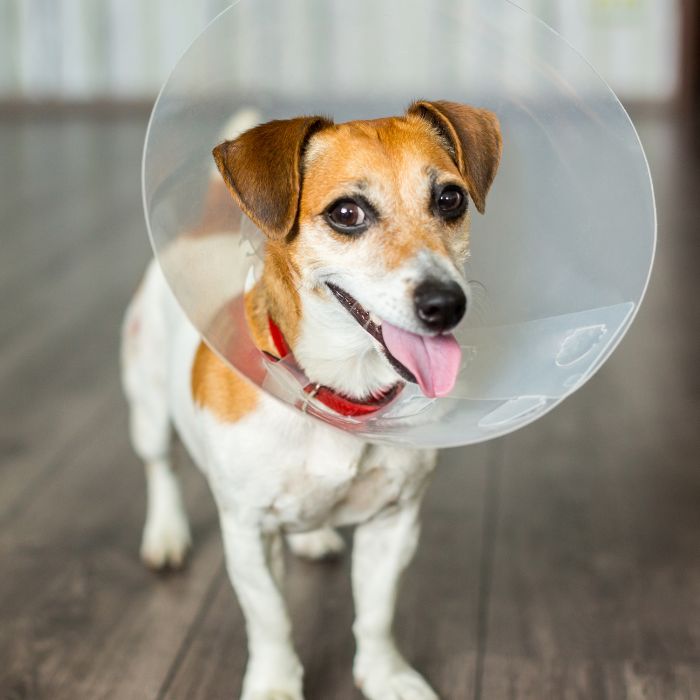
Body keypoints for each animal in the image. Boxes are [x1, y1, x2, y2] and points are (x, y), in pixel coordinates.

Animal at [121, 100, 504, 700]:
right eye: (347, 212)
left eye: (450, 199)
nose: (446, 304)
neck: (340, 393)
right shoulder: (248, 532)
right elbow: (271, 620)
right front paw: (275, 685)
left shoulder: (394, 523)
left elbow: (376, 614)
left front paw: (387, 676)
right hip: (148, 403)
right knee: (160, 465)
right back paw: (165, 534)